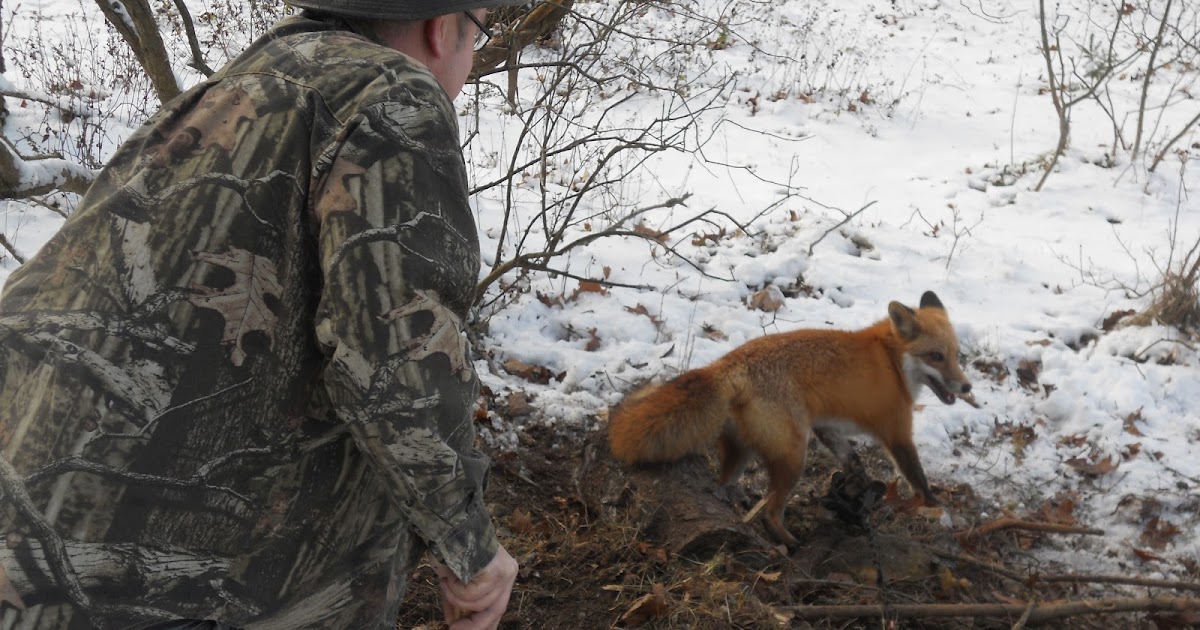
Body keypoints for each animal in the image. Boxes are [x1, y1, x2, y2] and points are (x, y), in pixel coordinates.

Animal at [607, 291, 972, 545]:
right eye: (936, 357)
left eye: (957, 355)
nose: (967, 386)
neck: (891, 362)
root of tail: (728, 364)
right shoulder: (897, 432)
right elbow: (919, 479)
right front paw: (938, 509)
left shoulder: (828, 426)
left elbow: (853, 460)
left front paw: (857, 489)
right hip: (795, 456)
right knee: (770, 512)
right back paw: (789, 543)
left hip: (743, 452)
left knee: (723, 483)